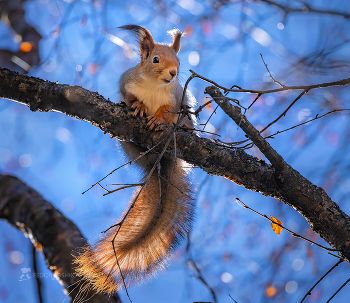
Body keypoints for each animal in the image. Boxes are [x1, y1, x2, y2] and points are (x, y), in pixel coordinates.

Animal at [74, 25, 196, 296]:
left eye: (179, 61)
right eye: (155, 60)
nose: (174, 74)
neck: (154, 85)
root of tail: (158, 162)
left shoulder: (175, 99)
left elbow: (167, 112)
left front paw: (157, 118)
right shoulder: (125, 83)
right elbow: (129, 97)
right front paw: (139, 107)